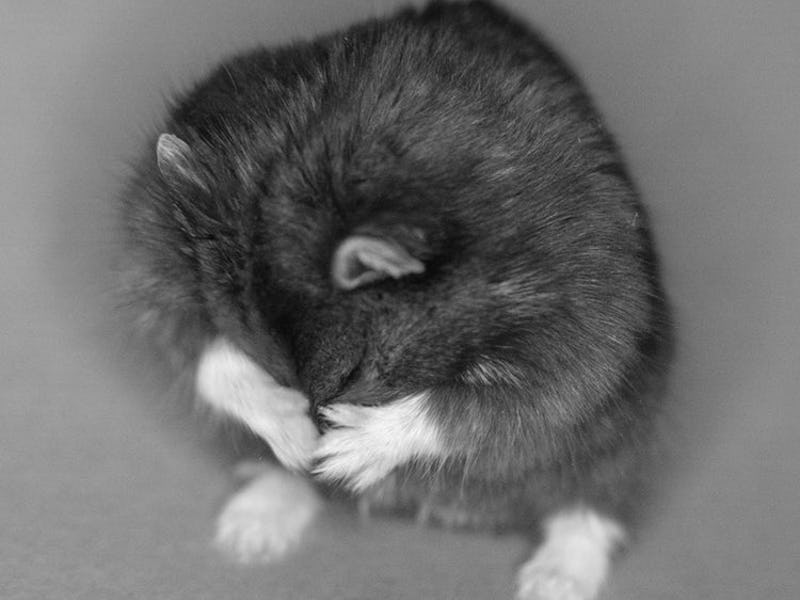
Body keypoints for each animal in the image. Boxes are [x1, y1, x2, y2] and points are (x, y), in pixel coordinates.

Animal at [117, 1, 672, 598]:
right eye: (258, 351)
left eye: (353, 371)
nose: (317, 447)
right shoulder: (150, 262)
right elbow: (206, 355)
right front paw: (297, 439)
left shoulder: (577, 328)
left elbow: (486, 407)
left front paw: (342, 451)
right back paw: (251, 528)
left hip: (617, 453)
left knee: (587, 513)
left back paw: (550, 583)